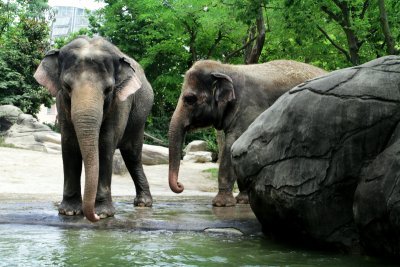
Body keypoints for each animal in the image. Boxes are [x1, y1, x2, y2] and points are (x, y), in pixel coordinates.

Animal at [33, 36, 153, 223]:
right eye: (66, 86)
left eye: (108, 89)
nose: (93, 217)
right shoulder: (61, 101)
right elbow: (69, 144)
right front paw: (69, 212)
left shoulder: (120, 103)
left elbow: (105, 144)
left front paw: (103, 213)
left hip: (140, 117)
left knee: (132, 155)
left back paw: (143, 203)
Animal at [169, 60, 328, 207]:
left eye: (190, 99)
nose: (180, 186)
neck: (227, 68)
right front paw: (243, 200)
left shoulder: (249, 109)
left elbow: (233, 145)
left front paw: (221, 204)